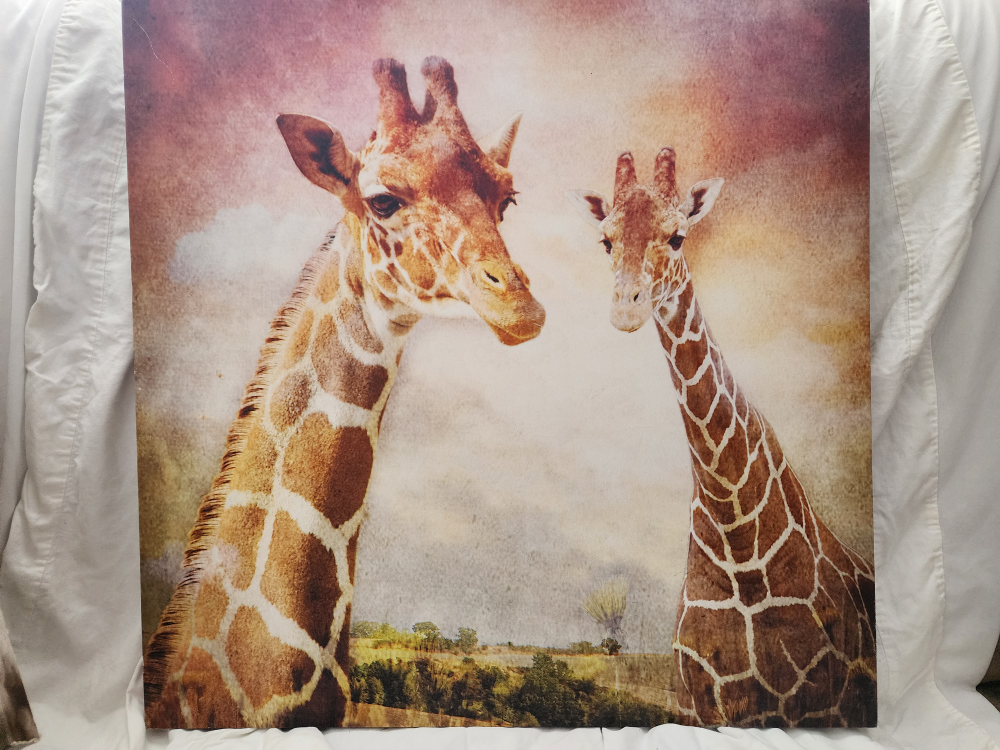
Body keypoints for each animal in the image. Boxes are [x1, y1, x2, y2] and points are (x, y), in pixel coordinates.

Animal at [569, 149, 876, 727]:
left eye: (677, 236)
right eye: (606, 241)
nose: (626, 308)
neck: (742, 551)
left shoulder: (825, 706)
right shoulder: (697, 702)